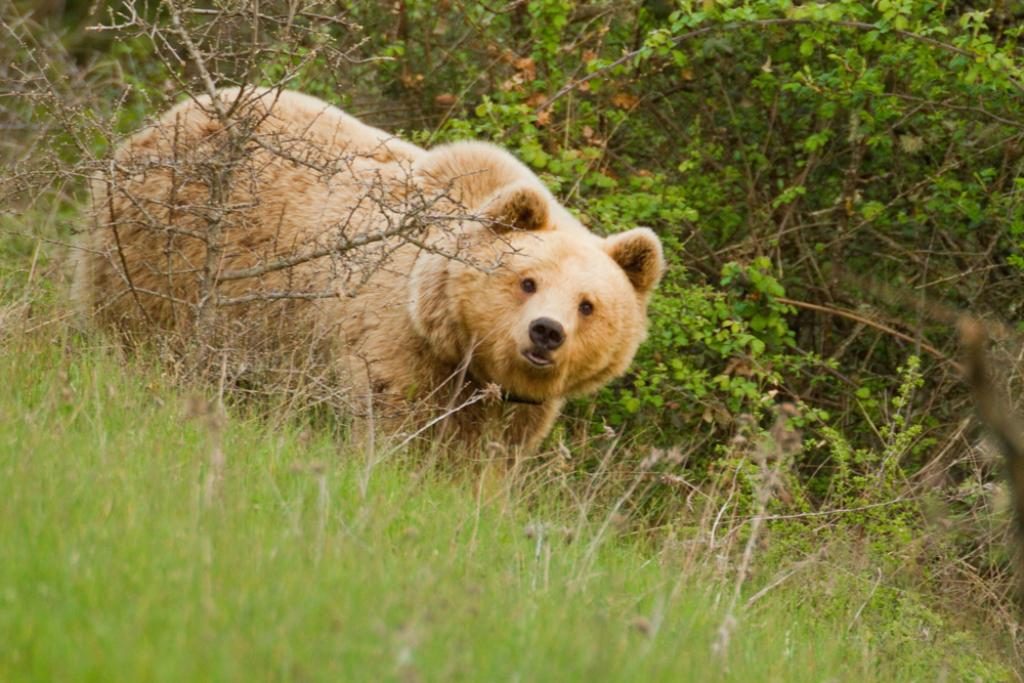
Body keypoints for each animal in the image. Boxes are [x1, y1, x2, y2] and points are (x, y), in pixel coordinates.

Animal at [72, 89, 663, 454]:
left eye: (588, 304)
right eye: (527, 281)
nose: (546, 332)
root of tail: (171, 115)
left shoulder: (518, 407)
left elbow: (487, 458)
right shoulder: (395, 338)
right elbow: (393, 416)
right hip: (159, 252)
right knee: (138, 333)